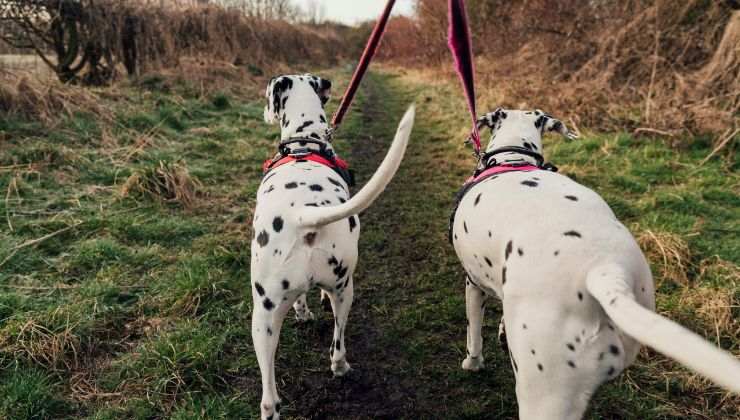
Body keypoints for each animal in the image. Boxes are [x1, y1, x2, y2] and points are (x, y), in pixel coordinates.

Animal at [250, 74, 414, 418]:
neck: (304, 144)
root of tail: (304, 215)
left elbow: (302, 300)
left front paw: (304, 312)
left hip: (265, 318)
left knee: (271, 393)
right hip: (340, 292)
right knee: (337, 345)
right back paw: (340, 367)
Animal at [450, 109, 740, 420]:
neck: (512, 159)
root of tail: (603, 272)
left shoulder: (473, 284)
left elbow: (474, 332)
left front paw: (473, 362)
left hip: (543, 395)